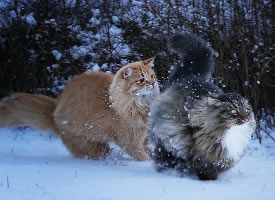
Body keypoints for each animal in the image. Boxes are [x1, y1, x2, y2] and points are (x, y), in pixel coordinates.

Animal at [0, 57, 160, 159]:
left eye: (152, 76)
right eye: (141, 80)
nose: (152, 84)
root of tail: (54, 110)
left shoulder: (143, 139)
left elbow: (150, 149)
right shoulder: (131, 143)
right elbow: (144, 157)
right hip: (92, 145)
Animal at [150, 32, 258, 180]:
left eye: (247, 110)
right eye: (234, 112)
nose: (245, 118)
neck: (232, 134)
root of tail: (192, 76)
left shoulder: (220, 160)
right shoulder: (205, 156)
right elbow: (202, 167)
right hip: (164, 139)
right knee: (164, 155)